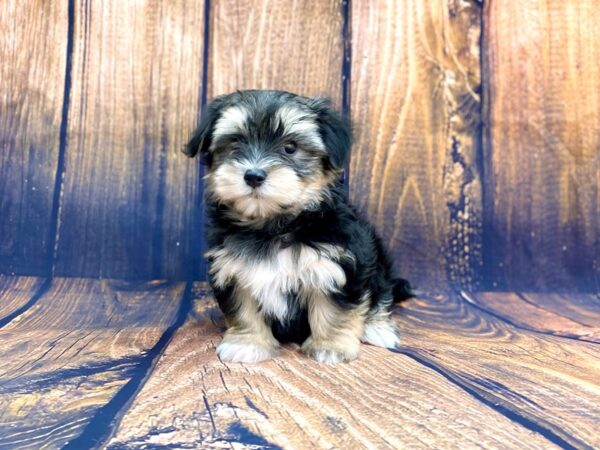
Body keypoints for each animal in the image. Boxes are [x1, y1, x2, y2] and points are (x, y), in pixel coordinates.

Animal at [183, 89, 412, 364]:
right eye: (236, 141)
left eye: (290, 147)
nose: (253, 175)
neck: (274, 226)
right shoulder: (232, 268)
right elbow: (243, 309)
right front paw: (247, 343)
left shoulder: (338, 265)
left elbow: (334, 310)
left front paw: (330, 346)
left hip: (377, 260)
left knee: (381, 293)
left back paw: (377, 328)